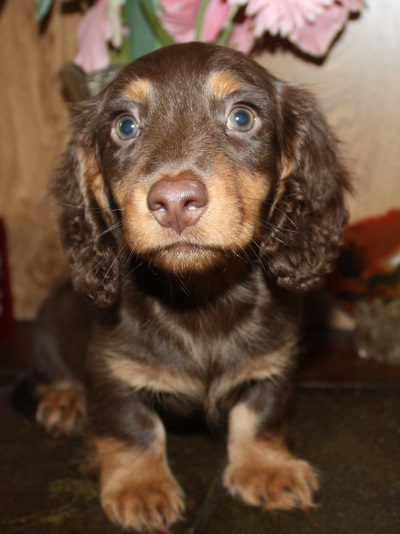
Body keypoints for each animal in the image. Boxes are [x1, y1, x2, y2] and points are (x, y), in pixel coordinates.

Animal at [21, 44, 348, 532]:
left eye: (242, 117)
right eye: (124, 125)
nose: (175, 201)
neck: (200, 297)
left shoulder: (276, 359)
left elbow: (261, 413)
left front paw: (267, 468)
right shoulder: (112, 367)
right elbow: (133, 427)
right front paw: (141, 487)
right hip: (46, 335)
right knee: (54, 372)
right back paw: (64, 400)